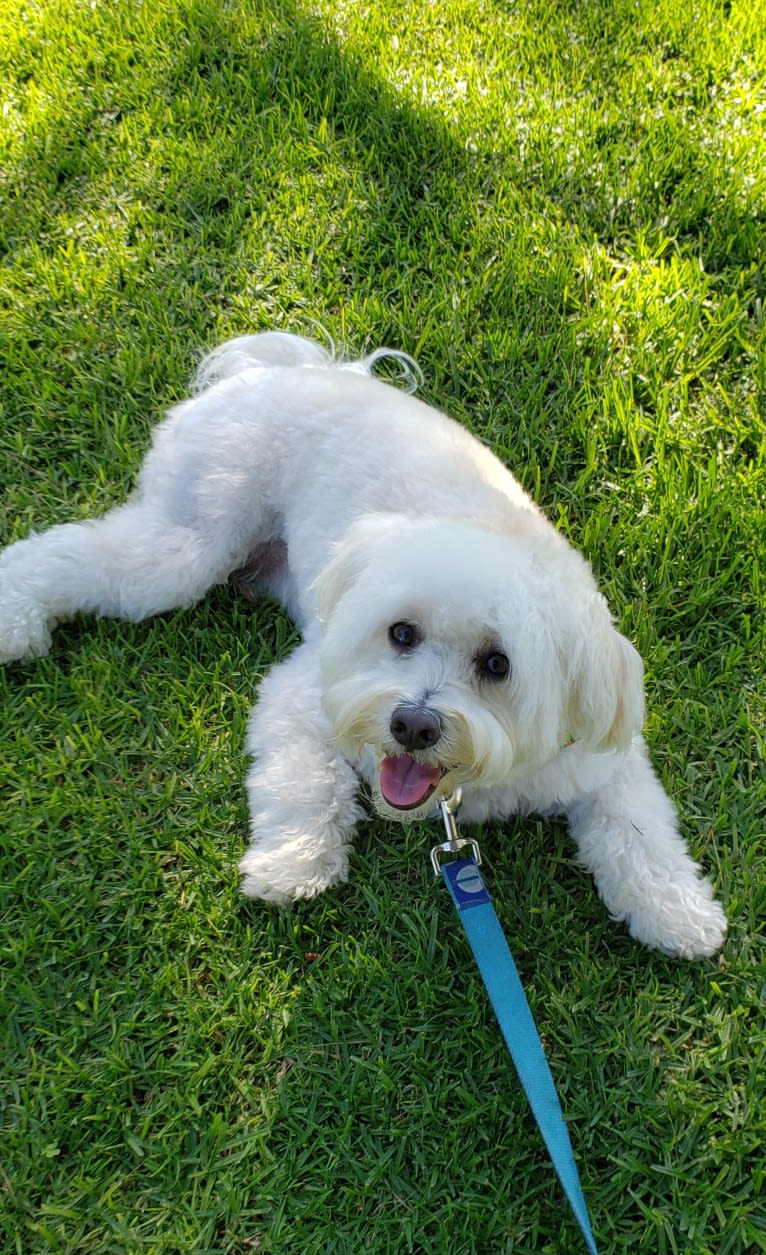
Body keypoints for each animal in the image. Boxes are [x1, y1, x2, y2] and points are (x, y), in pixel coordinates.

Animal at [1, 328, 728, 953]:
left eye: (497, 664)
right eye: (400, 633)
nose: (413, 724)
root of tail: (282, 369)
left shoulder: (599, 759)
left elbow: (640, 831)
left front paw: (678, 912)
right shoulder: (302, 696)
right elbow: (302, 781)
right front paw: (293, 864)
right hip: (189, 541)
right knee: (77, 555)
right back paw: (16, 617)